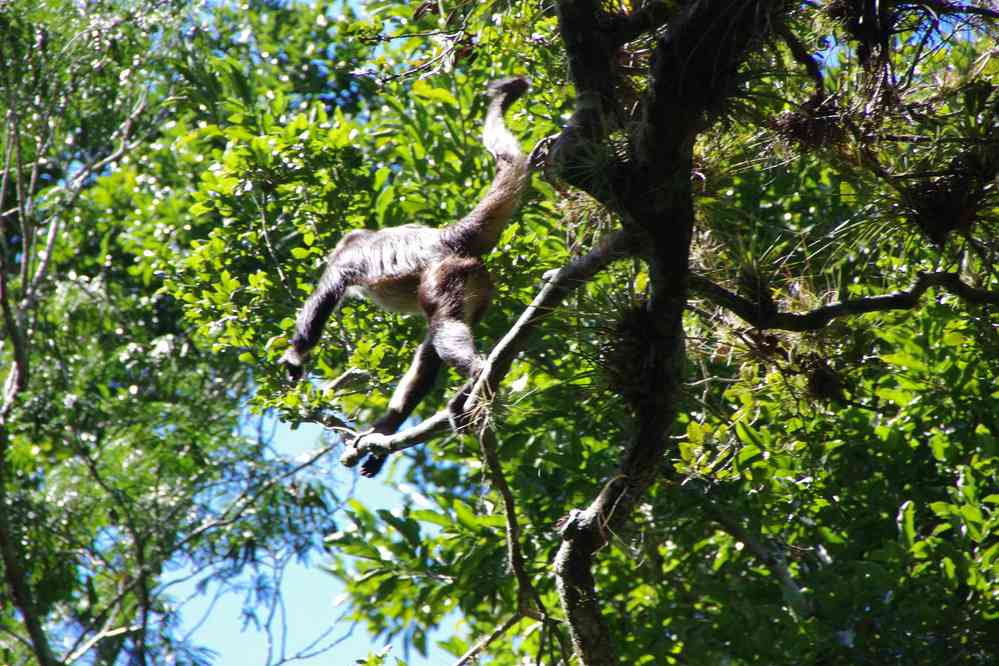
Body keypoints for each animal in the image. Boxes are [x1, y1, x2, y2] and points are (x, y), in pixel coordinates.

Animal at [280, 76, 530, 477]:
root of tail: (448, 237)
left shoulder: (347, 258)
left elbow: (326, 295)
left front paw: (295, 356)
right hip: (476, 285)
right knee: (431, 350)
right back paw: (387, 430)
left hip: (445, 275)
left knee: (442, 330)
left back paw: (478, 373)